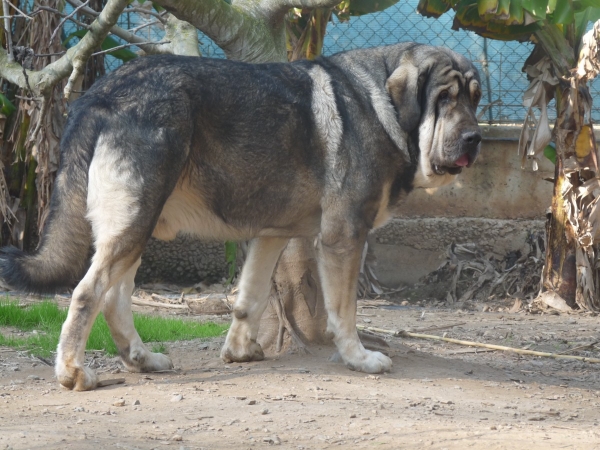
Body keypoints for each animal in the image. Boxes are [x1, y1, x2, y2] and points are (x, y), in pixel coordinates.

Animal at [0, 44, 478, 392]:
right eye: (444, 99)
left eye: (474, 98)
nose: (475, 137)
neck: (383, 104)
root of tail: (101, 92)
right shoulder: (344, 237)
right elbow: (344, 310)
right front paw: (358, 358)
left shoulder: (271, 235)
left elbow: (251, 297)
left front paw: (239, 351)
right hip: (134, 221)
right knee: (87, 293)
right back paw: (72, 372)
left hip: (136, 225)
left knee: (114, 298)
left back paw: (141, 359)